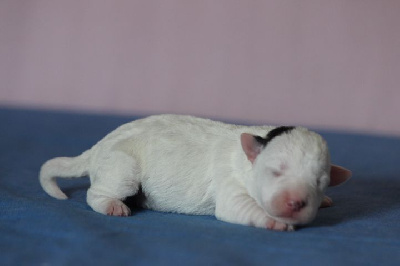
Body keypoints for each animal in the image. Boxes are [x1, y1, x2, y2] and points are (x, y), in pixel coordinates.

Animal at [38, 114, 350, 231]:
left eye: (320, 183)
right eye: (275, 171)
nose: (295, 203)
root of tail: (98, 146)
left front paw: (324, 201)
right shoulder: (230, 183)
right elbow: (237, 206)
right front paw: (274, 221)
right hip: (122, 166)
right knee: (96, 192)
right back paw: (112, 205)